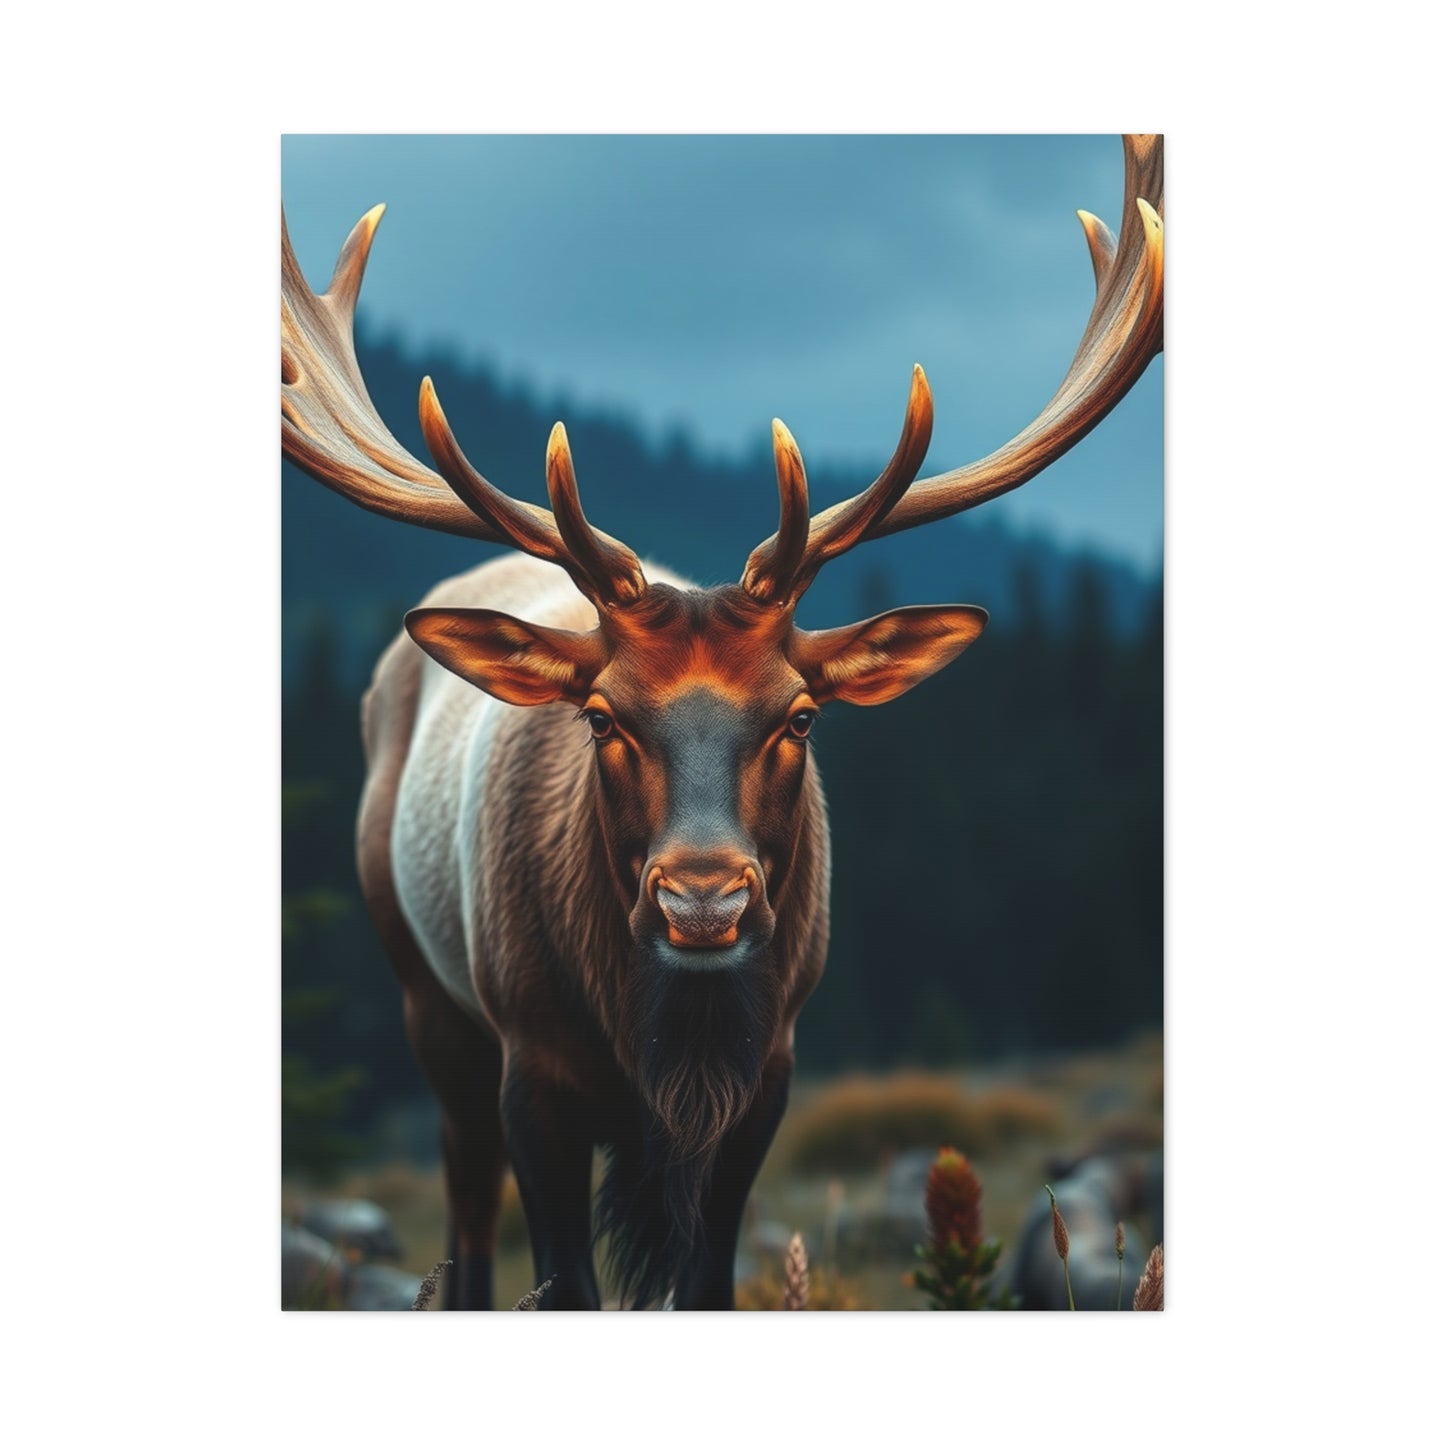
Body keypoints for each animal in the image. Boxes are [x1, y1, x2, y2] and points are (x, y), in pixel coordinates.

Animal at [281, 134, 1163, 1310]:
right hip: (429, 996)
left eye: (800, 716)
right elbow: (560, 1278)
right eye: (600, 716)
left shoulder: (768, 1076)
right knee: (463, 1223)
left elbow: (706, 1279)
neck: (669, 1048)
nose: (703, 900)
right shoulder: (530, 1065)